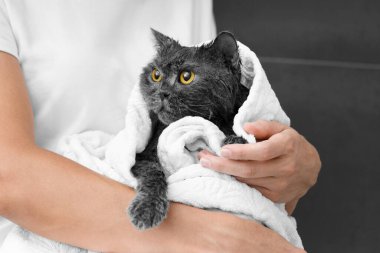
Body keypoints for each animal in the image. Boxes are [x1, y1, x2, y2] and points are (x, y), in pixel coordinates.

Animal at [129, 29, 251, 229]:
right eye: (156, 75)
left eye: (186, 77)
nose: (162, 93)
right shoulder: (142, 157)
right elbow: (154, 172)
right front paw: (147, 209)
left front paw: (236, 140)